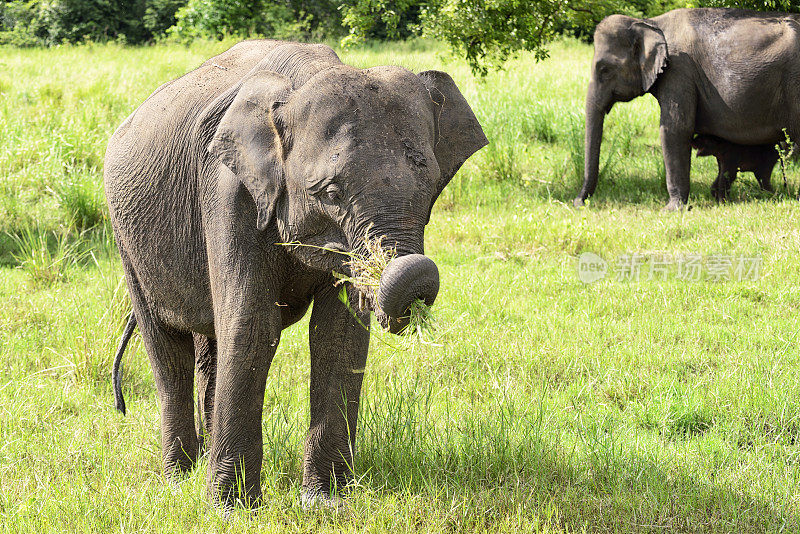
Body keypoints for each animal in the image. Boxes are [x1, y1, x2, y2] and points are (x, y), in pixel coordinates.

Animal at [101, 39, 488, 508]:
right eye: (331, 193)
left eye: (430, 185)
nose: (415, 285)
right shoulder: (228, 192)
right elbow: (252, 325)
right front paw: (231, 510)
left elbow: (339, 332)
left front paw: (326, 502)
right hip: (126, 239)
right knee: (168, 351)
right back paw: (179, 480)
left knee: (210, 345)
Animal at [572, 8, 800, 209]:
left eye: (604, 69)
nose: (578, 203)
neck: (650, 22)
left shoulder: (679, 70)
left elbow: (674, 128)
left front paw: (672, 209)